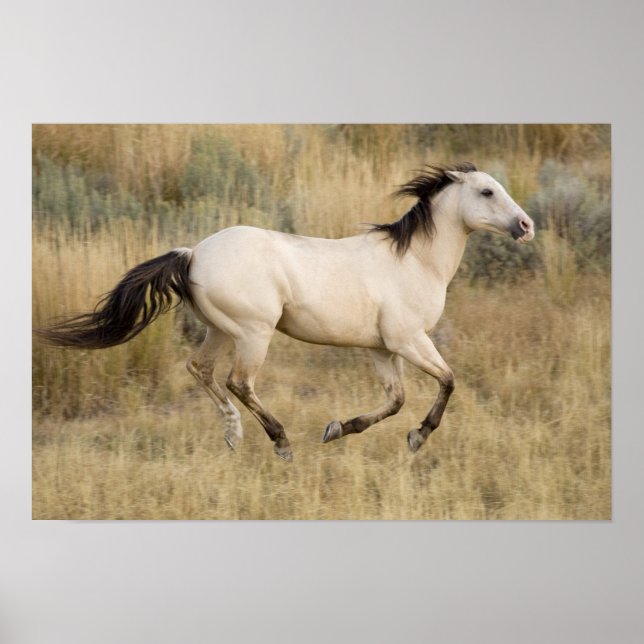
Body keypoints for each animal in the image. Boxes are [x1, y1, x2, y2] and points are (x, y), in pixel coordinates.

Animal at [37, 162, 535, 461]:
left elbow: (395, 400)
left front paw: (338, 428)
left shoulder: (382, 348)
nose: (526, 226)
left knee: (201, 370)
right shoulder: (409, 340)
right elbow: (448, 381)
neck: (414, 260)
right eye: (487, 191)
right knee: (239, 382)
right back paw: (281, 443)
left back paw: (233, 436)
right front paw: (418, 437)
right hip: (254, 333)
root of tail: (193, 253)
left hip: (221, 330)